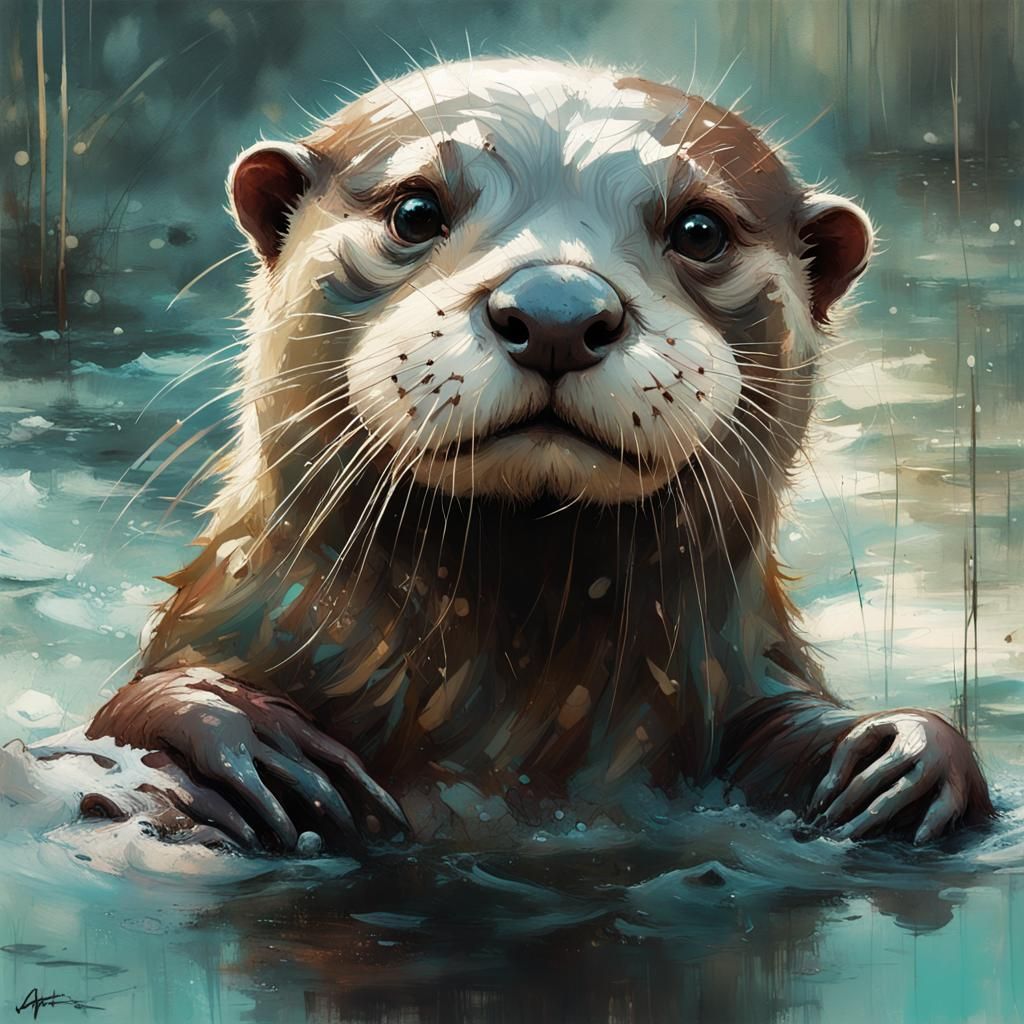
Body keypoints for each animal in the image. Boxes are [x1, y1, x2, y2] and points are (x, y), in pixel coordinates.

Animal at [83, 57, 992, 853]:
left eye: (700, 230)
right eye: (415, 211)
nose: (558, 307)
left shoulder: (745, 676)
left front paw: (900, 754)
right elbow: (122, 716)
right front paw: (241, 738)